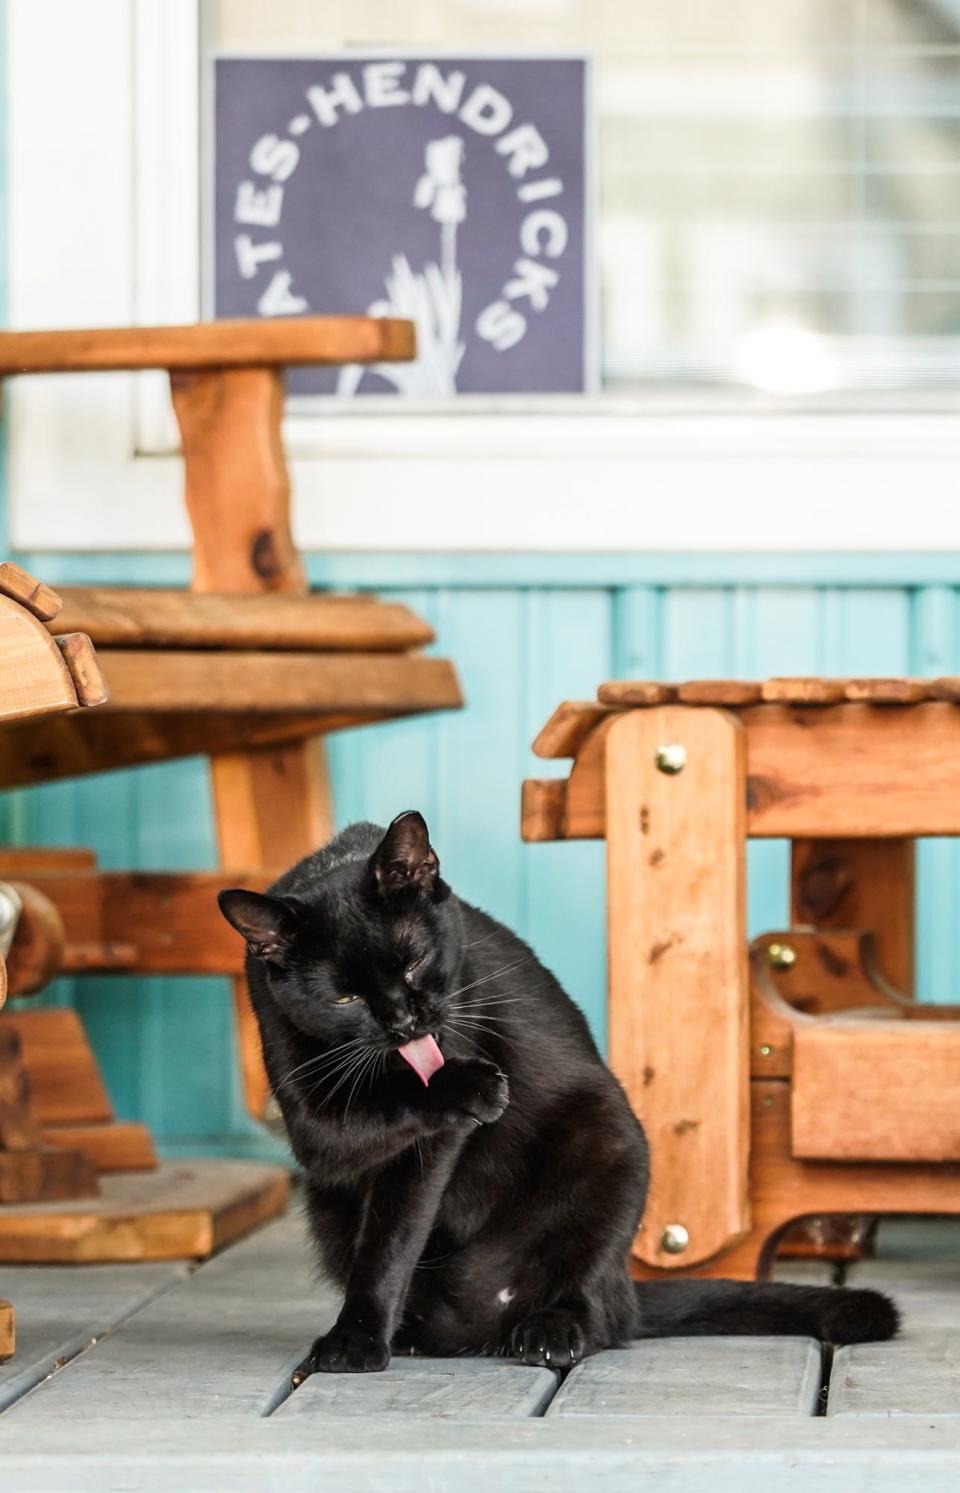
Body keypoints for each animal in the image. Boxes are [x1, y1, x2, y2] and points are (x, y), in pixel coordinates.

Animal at [219, 818, 901, 1373]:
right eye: (345, 998)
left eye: (412, 962)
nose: (404, 1023)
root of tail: (477, 1323)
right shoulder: (309, 1119)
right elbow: (367, 1176)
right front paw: (359, 1337)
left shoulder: (438, 1123)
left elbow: (393, 1231)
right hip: (325, 1202)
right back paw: (413, 1329)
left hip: (611, 1145)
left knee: (598, 1311)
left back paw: (550, 1330)